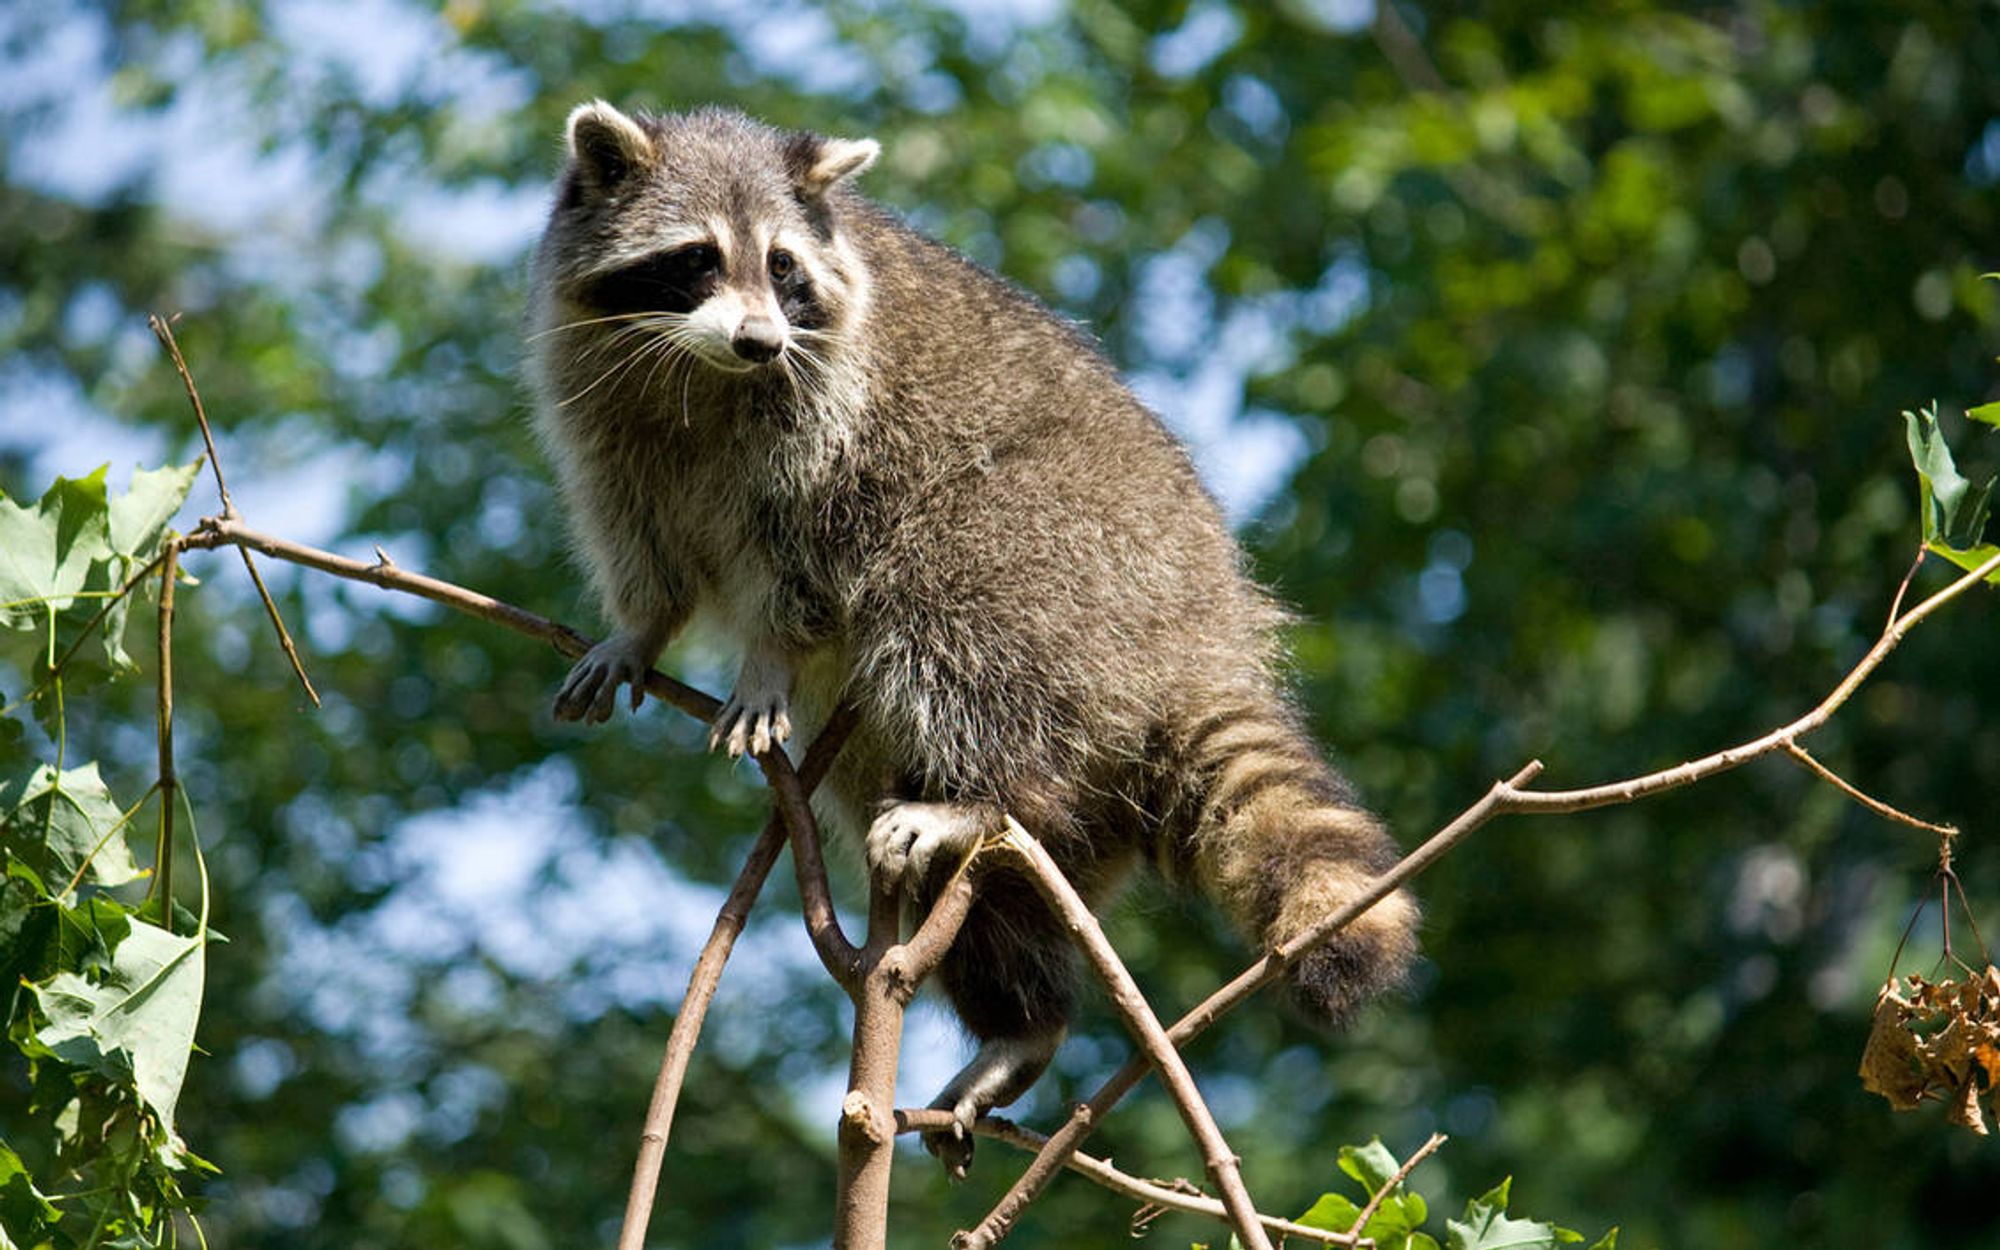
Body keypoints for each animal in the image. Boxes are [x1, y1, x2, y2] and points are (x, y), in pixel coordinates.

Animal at [524, 102, 1416, 1176]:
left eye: (782, 266)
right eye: (697, 257)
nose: (759, 340)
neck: (698, 368)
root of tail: (1201, 635)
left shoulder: (836, 418)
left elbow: (806, 560)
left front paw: (769, 656)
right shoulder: (601, 395)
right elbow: (640, 540)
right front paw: (640, 629)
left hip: (1068, 556)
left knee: (955, 600)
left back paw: (981, 799)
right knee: (997, 897)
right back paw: (1023, 1021)